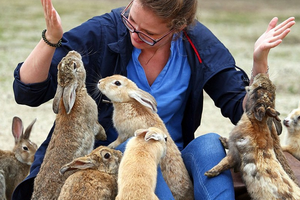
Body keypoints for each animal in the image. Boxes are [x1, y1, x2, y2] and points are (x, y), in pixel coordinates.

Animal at [31, 50, 106, 200]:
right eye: (75, 65)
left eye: (61, 63)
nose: (73, 52)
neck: (77, 92)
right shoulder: (93, 121)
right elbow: (98, 128)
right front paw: (105, 136)